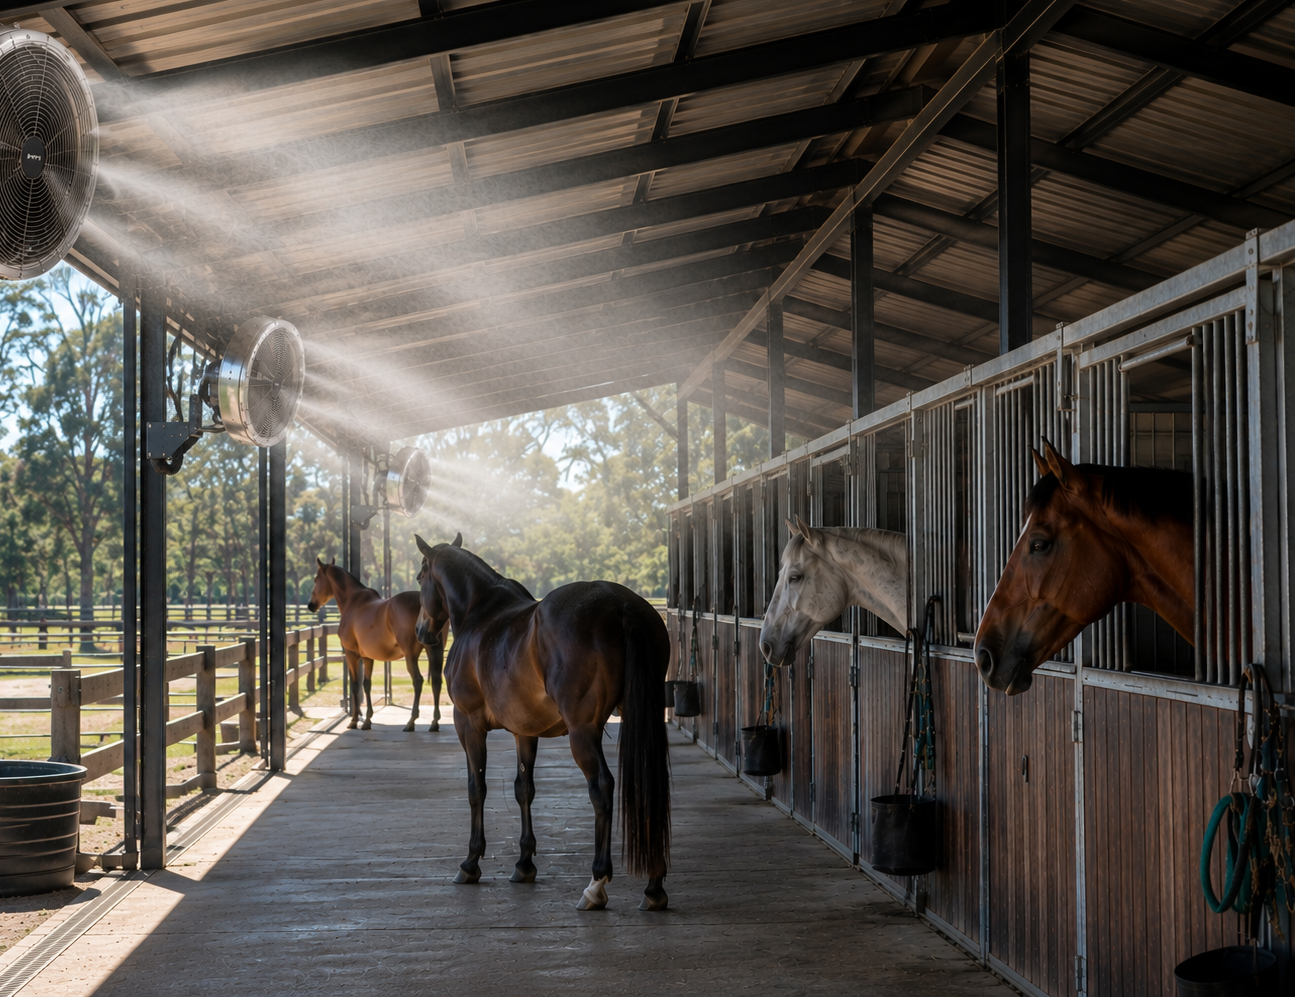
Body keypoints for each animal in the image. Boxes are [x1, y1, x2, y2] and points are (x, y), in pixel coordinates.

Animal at [305, 558, 446, 732]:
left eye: (315, 579)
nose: (311, 605)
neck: (352, 602)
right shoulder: (367, 657)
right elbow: (367, 685)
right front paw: (367, 720)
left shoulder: (351, 655)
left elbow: (355, 685)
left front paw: (354, 721)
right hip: (434, 650)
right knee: (436, 681)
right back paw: (434, 723)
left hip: (410, 655)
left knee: (418, 681)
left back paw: (411, 722)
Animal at [411, 534, 672, 912]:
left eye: (420, 578)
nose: (422, 632)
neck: (480, 612)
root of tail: (622, 605)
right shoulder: (525, 731)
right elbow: (524, 789)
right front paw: (524, 865)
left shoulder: (467, 723)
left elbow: (477, 789)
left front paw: (471, 863)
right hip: (645, 715)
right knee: (648, 784)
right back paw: (654, 887)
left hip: (583, 731)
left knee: (602, 787)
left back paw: (596, 885)